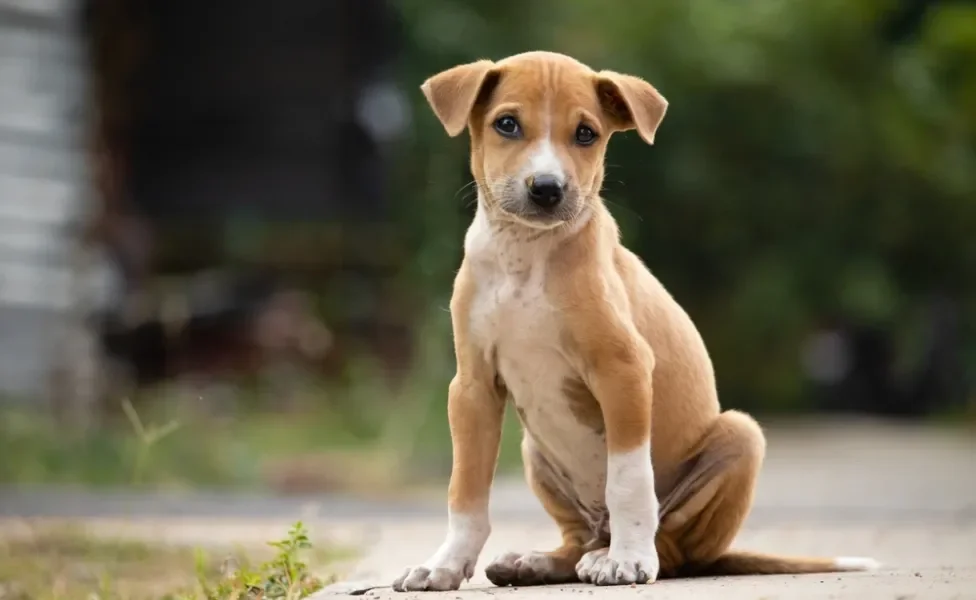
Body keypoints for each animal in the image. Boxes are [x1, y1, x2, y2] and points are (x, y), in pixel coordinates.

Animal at [392, 50, 880, 592]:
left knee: (671, 549)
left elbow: (627, 478)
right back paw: (539, 561)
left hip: (740, 437)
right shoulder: (473, 386)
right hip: (536, 453)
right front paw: (444, 565)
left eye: (586, 133)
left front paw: (628, 559)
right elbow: (466, 490)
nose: (547, 188)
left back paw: (616, 555)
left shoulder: (622, 369)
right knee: (578, 539)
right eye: (506, 124)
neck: (526, 254)